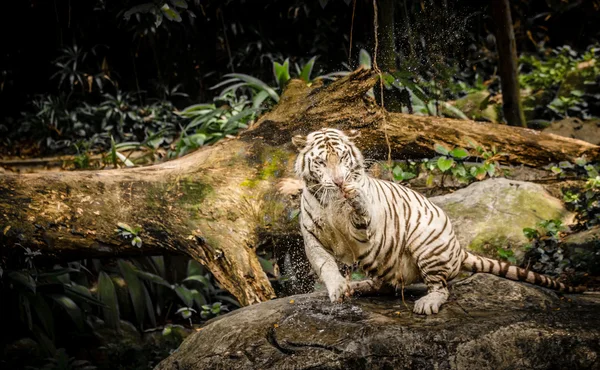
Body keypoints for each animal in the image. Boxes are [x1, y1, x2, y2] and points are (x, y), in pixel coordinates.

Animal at [292, 128, 584, 316]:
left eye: (342, 158)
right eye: (321, 162)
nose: (340, 182)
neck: (332, 201)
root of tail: (458, 248)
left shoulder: (365, 232)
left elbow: (360, 213)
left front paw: (355, 195)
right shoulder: (312, 237)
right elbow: (326, 264)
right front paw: (338, 289)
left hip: (427, 245)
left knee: (441, 288)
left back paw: (427, 303)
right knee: (385, 284)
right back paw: (358, 286)